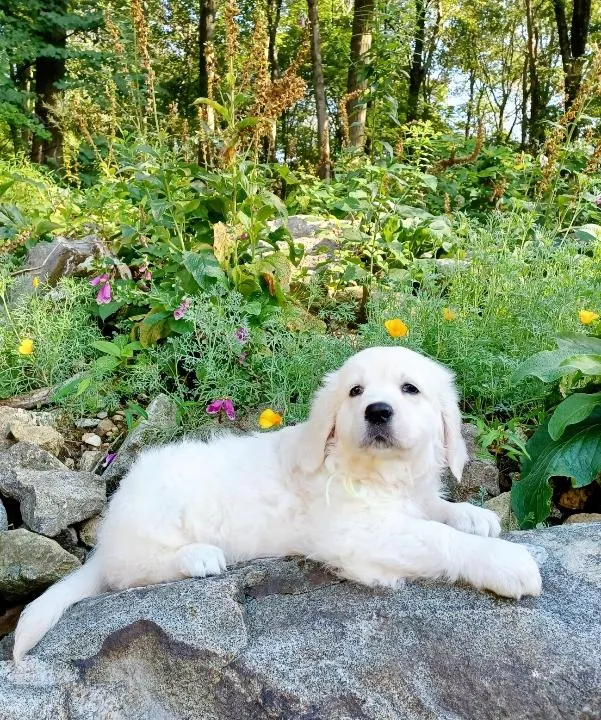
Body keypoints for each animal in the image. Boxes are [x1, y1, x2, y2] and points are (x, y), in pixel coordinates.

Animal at [11, 346, 540, 660]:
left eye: (410, 389)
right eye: (356, 391)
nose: (377, 411)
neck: (377, 473)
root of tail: (107, 533)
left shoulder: (410, 500)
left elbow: (436, 510)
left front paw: (475, 515)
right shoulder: (359, 535)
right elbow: (436, 537)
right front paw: (506, 562)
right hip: (156, 516)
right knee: (127, 573)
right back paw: (198, 557)